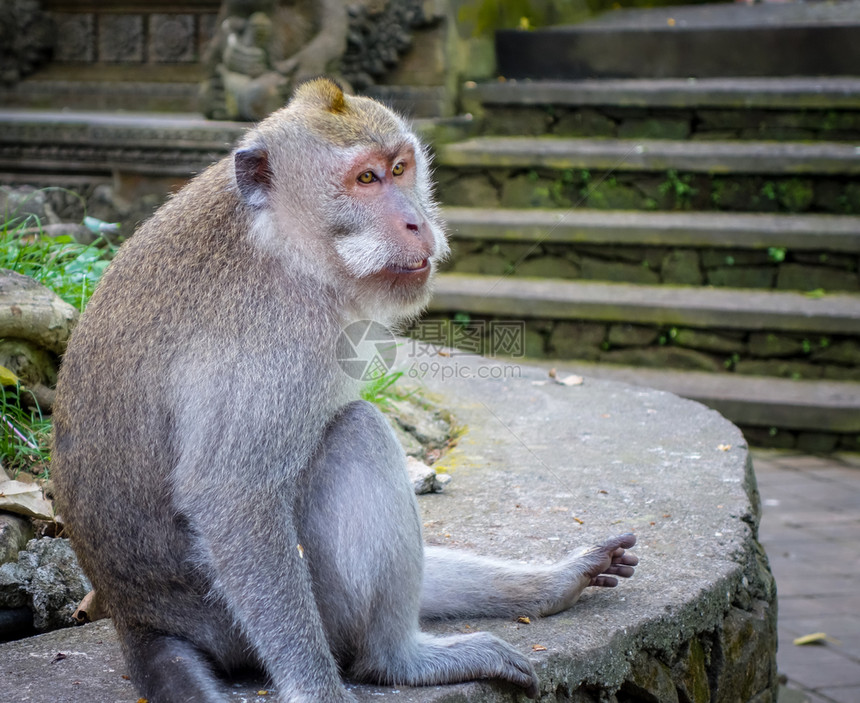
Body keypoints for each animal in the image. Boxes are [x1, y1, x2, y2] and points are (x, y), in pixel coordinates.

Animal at [50, 78, 636, 703]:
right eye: (366, 179)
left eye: (400, 169)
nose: (417, 222)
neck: (282, 242)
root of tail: (138, 618)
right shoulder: (276, 336)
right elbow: (232, 494)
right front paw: (319, 691)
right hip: (254, 620)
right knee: (359, 432)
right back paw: (399, 660)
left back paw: (550, 585)